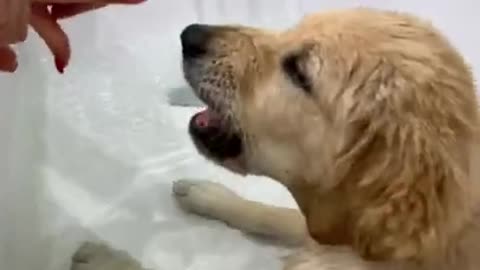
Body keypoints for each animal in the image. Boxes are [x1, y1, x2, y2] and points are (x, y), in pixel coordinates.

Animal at [70, 7, 480, 270]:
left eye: (298, 71)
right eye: (293, 30)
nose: (189, 35)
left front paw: (106, 260)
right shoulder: (321, 230)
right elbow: (275, 215)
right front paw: (209, 195)